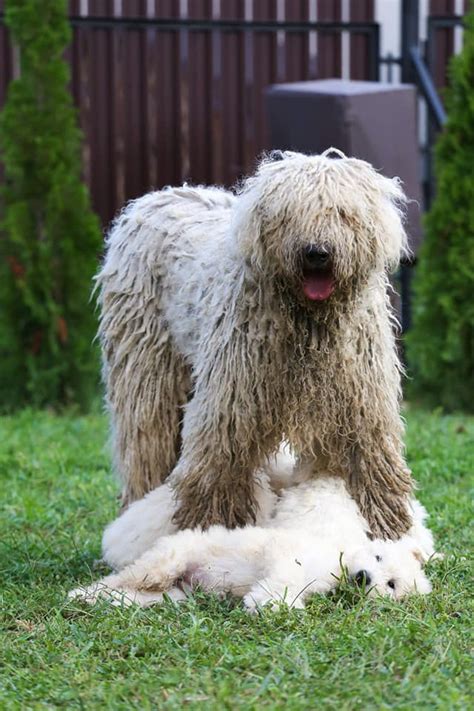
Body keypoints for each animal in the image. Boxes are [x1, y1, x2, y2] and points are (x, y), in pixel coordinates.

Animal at [70, 456, 436, 612]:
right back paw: (81, 593)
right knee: (122, 578)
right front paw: (272, 604)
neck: (340, 558)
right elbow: (285, 575)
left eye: (392, 585)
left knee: (132, 593)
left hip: (170, 592)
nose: (363, 578)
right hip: (164, 562)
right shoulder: (291, 555)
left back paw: (95, 600)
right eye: (378, 557)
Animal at [98, 149, 412, 540]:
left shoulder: (359, 401)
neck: (309, 322)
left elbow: (369, 457)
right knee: (145, 439)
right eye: (290, 214)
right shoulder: (232, 401)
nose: (317, 252)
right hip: (147, 367)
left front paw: (387, 525)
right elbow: (218, 465)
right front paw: (207, 527)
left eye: (342, 212)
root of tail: (153, 199)